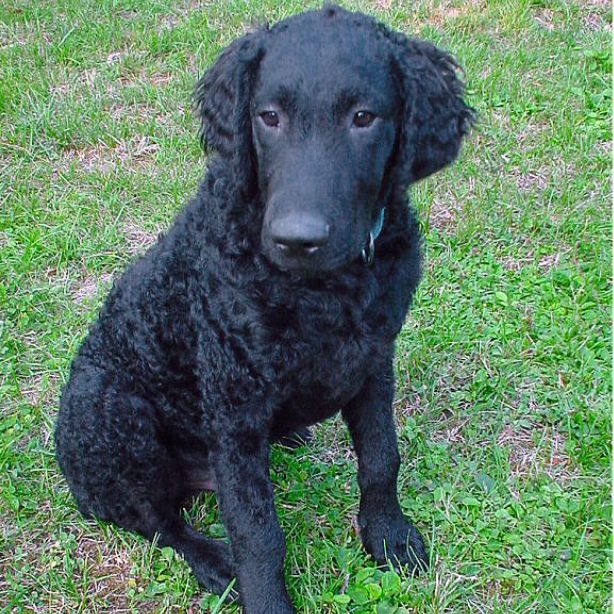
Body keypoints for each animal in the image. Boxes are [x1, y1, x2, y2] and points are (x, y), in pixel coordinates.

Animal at [55, 6, 474, 614]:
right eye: (269, 117)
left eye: (364, 118)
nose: (297, 238)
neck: (321, 289)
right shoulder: (233, 406)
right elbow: (257, 532)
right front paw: (268, 598)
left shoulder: (373, 359)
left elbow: (381, 458)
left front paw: (387, 536)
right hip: (109, 414)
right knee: (155, 519)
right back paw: (210, 560)